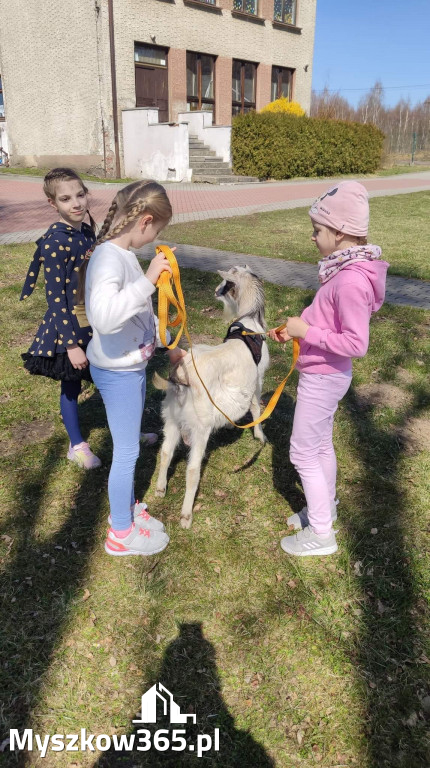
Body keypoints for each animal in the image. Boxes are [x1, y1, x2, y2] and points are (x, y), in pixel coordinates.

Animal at [154, 266, 268, 528]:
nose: (215, 291)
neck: (250, 322)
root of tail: (180, 378)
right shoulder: (257, 380)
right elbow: (256, 407)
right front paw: (260, 436)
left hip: (171, 418)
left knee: (165, 452)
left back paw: (160, 488)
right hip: (199, 427)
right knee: (192, 470)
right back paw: (186, 516)